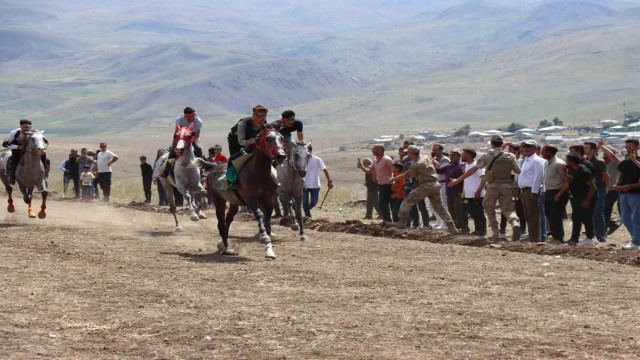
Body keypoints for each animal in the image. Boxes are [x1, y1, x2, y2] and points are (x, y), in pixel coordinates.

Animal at [201, 129, 286, 258]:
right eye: (267, 138)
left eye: (281, 138)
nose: (281, 156)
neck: (260, 173)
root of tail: (214, 168)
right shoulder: (250, 199)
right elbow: (259, 215)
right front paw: (264, 236)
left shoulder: (268, 200)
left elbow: (268, 223)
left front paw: (269, 250)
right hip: (218, 200)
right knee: (221, 223)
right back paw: (227, 248)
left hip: (234, 202)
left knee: (228, 220)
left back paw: (225, 245)